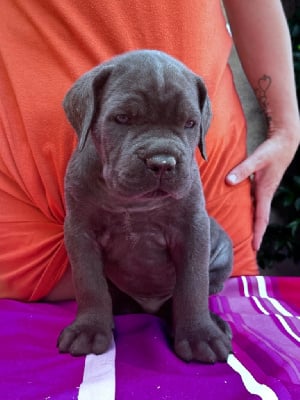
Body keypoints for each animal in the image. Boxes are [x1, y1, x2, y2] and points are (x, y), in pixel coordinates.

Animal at [57, 49, 233, 362]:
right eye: (123, 118)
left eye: (190, 123)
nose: (162, 162)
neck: (134, 204)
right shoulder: (80, 232)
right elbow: (90, 284)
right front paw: (89, 329)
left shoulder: (193, 229)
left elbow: (193, 286)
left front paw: (199, 335)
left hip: (222, 250)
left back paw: (213, 323)